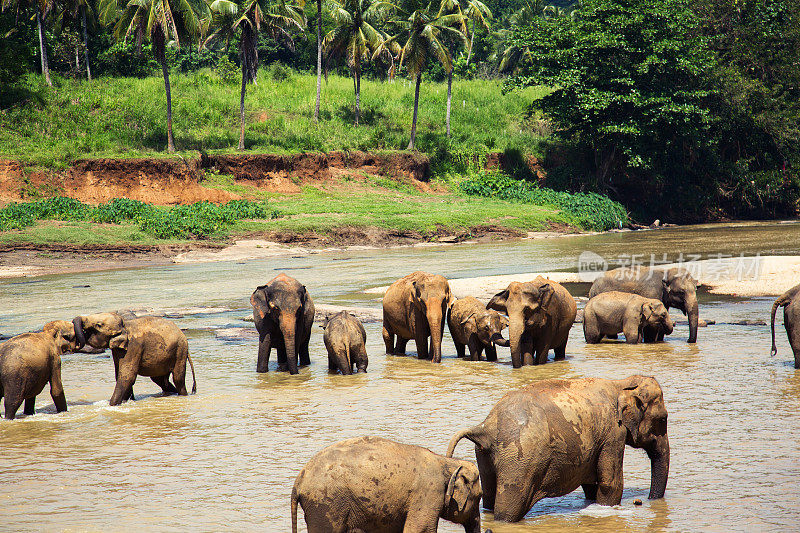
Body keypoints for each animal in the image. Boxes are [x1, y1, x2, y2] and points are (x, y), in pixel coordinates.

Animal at [292, 436, 484, 532]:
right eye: (479, 497)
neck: (445, 461)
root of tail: (298, 481)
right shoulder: (428, 493)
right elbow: (419, 529)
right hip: (326, 505)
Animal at [446, 376, 672, 520]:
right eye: (663, 419)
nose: (645, 501)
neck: (622, 384)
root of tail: (485, 427)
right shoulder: (613, 433)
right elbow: (610, 483)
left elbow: (591, 484)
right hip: (519, 460)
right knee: (508, 509)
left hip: (485, 456)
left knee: (490, 497)